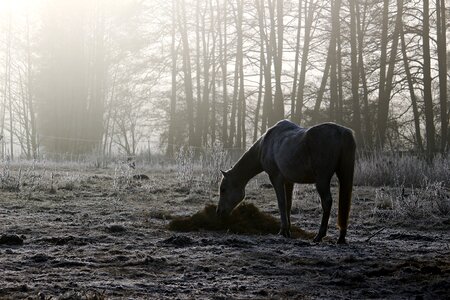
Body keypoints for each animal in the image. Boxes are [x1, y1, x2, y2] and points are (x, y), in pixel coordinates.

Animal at [216, 119, 356, 244]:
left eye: (223, 189)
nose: (219, 212)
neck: (265, 144)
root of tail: (342, 132)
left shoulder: (276, 178)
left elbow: (281, 203)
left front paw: (283, 231)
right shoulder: (289, 181)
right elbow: (288, 204)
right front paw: (288, 230)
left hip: (322, 180)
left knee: (326, 202)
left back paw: (319, 236)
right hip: (343, 175)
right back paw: (341, 237)